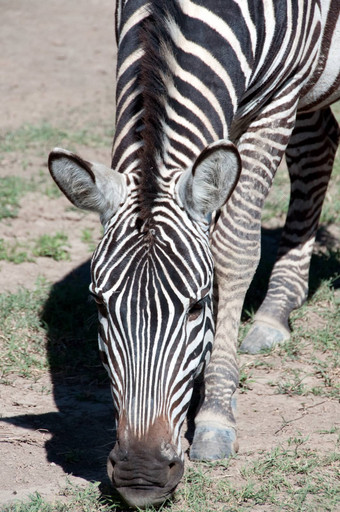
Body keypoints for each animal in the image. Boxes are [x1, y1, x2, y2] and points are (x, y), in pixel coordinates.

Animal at [47, 0, 340, 508]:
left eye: (198, 307)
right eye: (99, 306)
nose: (141, 477)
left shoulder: (279, 97)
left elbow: (234, 247)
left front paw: (216, 413)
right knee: (318, 144)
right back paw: (278, 307)